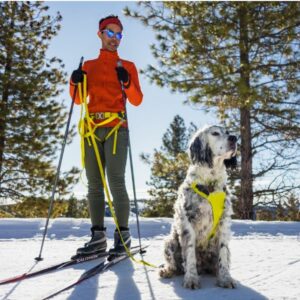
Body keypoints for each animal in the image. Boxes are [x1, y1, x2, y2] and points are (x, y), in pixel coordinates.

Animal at [158, 124, 238, 288]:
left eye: (228, 132)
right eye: (215, 133)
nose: (234, 138)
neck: (210, 184)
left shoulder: (223, 222)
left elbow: (223, 253)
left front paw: (225, 278)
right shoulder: (187, 221)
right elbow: (189, 254)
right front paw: (191, 279)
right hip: (170, 241)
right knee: (174, 265)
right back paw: (167, 271)